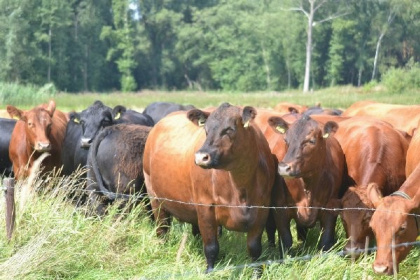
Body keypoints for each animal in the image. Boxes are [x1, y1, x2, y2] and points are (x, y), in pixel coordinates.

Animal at [143, 104, 278, 272]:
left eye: (229, 129)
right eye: (205, 130)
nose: (201, 157)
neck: (241, 188)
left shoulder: (262, 209)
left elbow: (254, 249)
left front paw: (256, 274)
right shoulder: (205, 207)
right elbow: (211, 247)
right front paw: (209, 272)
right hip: (155, 197)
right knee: (162, 228)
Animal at [268, 115, 346, 250]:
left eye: (311, 141)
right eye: (285, 140)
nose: (283, 168)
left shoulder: (330, 209)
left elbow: (325, 242)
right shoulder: (279, 208)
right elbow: (286, 241)